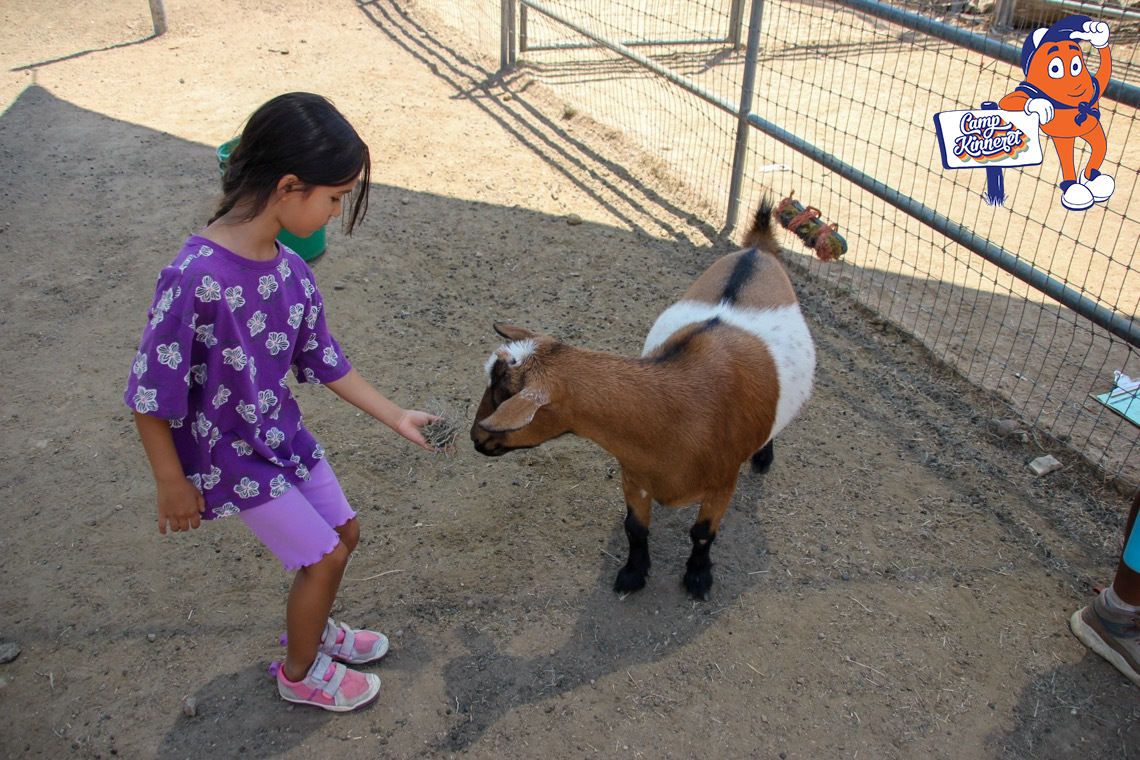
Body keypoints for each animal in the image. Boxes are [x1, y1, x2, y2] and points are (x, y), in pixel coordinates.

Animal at [470, 199, 815, 600]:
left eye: (502, 396)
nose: (475, 439)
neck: (676, 414)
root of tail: (757, 249)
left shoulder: (722, 485)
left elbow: (702, 535)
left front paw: (698, 578)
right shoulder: (633, 473)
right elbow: (634, 528)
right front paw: (633, 575)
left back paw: (763, 456)